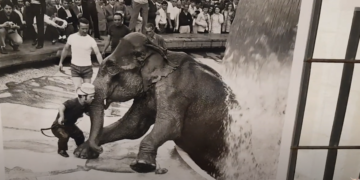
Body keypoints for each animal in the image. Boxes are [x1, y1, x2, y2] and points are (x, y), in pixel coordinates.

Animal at [73, 31, 238, 178]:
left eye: (112, 68)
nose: (100, 149)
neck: (159, 52)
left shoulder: (175, 89)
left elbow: (170, 125)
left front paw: (141, 166)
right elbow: (132, 126)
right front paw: (81, 152)